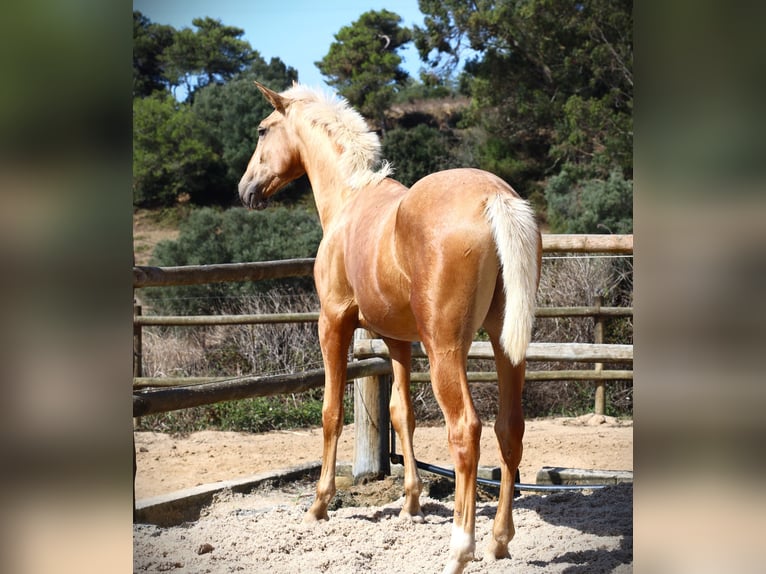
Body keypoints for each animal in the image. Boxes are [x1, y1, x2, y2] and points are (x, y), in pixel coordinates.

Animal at [238, 82, 540, 574]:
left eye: (263, 130)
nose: (246, 189)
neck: (350, 199)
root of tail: (494, 196)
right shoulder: (399, 340)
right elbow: (403, 414)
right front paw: (411, 504)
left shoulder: (333, 321)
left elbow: (331, 413)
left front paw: (319, 505)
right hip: (504, 345)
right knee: (509, 428)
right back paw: (499, 541)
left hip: (445, 349)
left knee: (466, 431)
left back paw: (460, 549)